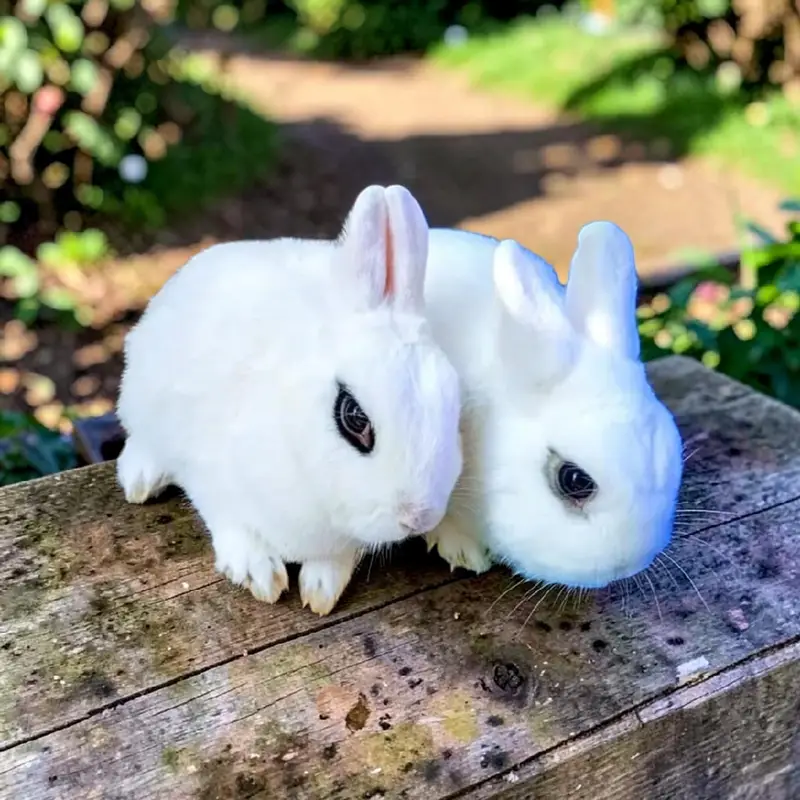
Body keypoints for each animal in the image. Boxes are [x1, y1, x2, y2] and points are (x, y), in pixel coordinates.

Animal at [115, 184, 464, 616]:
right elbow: (231, 522)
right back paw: (141, 480)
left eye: (454, 405)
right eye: (354, 417)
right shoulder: (208, 474)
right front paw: (260, 574)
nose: (418, 518)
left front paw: (321, 591)